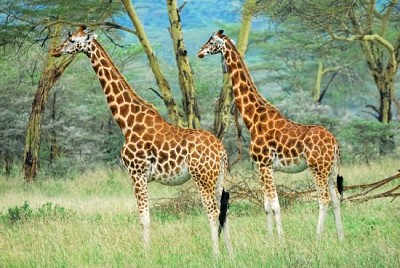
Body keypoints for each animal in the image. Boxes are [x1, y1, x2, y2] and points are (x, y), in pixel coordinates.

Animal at [51, 26, 233, 255]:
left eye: (72, 40)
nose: (55, 51)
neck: (127, 122)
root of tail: (221, 151)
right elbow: (145, 217)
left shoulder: (136, 174)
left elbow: (144, 218)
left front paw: (146, 254)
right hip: (217, 178)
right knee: (223, 211)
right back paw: (230, 254)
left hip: (202, 178)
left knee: (212, 211)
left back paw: (215, 254)